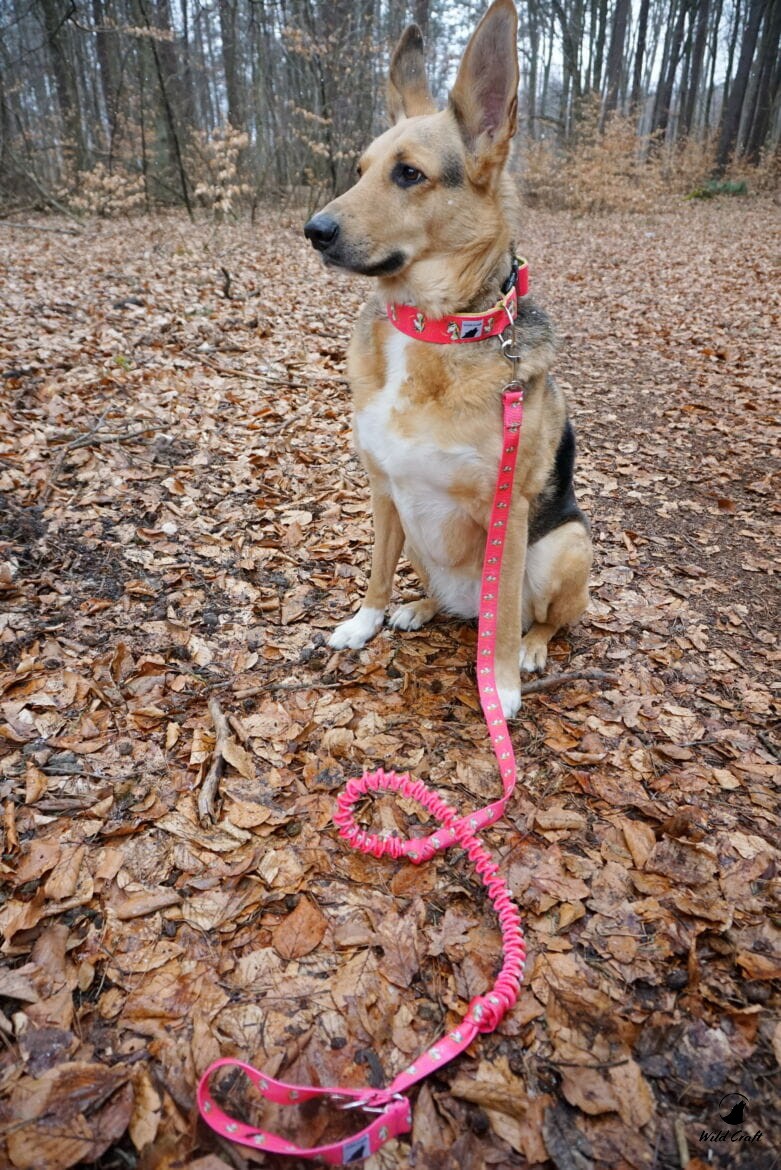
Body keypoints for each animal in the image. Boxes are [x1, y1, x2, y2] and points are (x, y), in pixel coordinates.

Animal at [304, 0, 592, 720]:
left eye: (409, 173)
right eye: (360, 169)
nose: (313, 231)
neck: (433, 330)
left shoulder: (508, 514)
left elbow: (506, 615)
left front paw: (502, 685)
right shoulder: (383, 489)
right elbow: (375, 570)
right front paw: (366, 621)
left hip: (567, 545)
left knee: (538, 617)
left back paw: (529, 650)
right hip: (422, 542)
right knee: (454, 601)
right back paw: (420, 607)